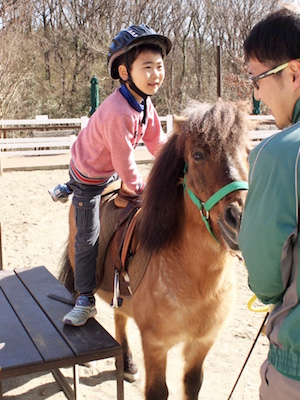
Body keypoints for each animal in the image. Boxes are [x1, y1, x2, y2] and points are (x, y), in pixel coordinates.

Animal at [59, 97, 251, 400]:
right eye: (198, 154)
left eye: (247, 153)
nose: (240, 219)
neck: (196, 282)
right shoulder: (155, 344)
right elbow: (158, 391)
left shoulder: (202, 344)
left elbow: (193, 384)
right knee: (85, 294)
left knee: (119, 319)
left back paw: (127, 363)